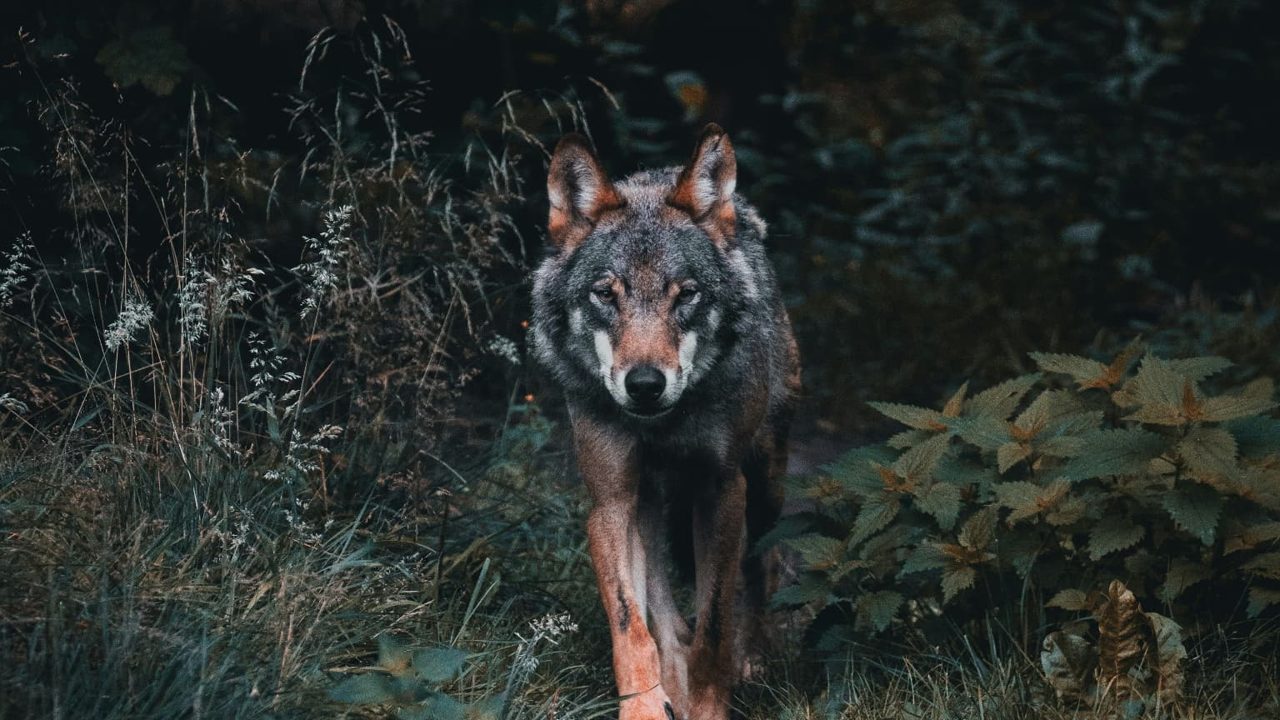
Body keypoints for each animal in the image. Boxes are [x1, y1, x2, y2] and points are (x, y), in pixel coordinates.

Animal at [530, 124, 800, 720]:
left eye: (687, 294)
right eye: (606, 294)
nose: (646, 384)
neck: (663, 426)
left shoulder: (721, 490)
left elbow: (714, 624)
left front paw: (709, 703)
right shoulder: (611, 503)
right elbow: (633, 628)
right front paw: (647, 706)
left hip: (765, 486)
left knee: (762, 566)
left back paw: (753, 660)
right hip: (649, 508)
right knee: (665, 615)